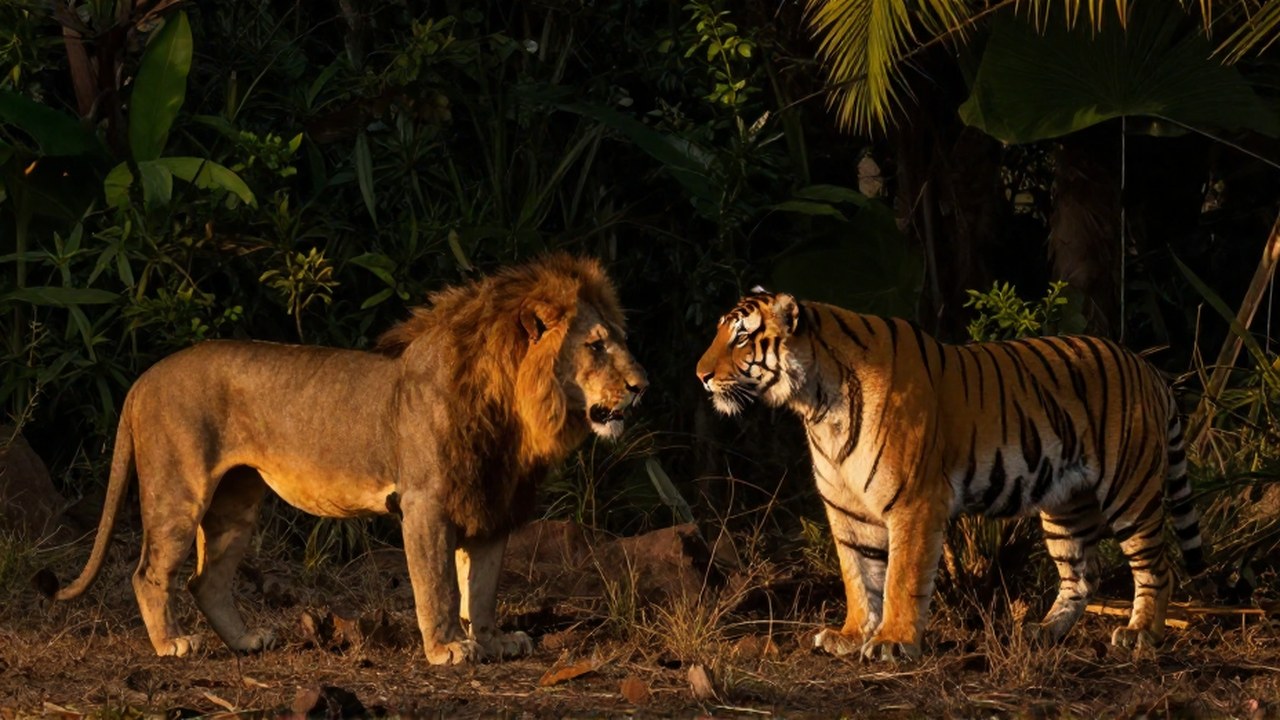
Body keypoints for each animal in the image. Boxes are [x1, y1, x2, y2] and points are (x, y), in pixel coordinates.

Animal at [40, 254, 647, 664]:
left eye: (616, 339)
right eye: (595, 346)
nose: (643, 386)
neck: (515, 414)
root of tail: (143, 378)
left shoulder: (490, 502)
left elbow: (483, 586)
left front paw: (495, 640)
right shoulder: (425, 501)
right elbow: (440, 584)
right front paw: (447, 647)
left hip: (236, 501)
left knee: (205, 580)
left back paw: (247, 641)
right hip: (178, 490)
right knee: (148, 573)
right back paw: (172, 644)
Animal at [695, 288, 1204, 661]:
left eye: (740, 339)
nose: (700, 376)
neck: (817, 405)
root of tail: (1147, 366)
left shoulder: (914, 501)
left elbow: (900, 577)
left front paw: (892, 642)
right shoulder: (848, 510)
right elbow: (858, 575)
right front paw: (852, 634)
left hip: (1129, 490)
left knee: (1157, 567)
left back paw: (1141, 633)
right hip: (1065, 506)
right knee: (1081, 576)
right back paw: (1044, 631)